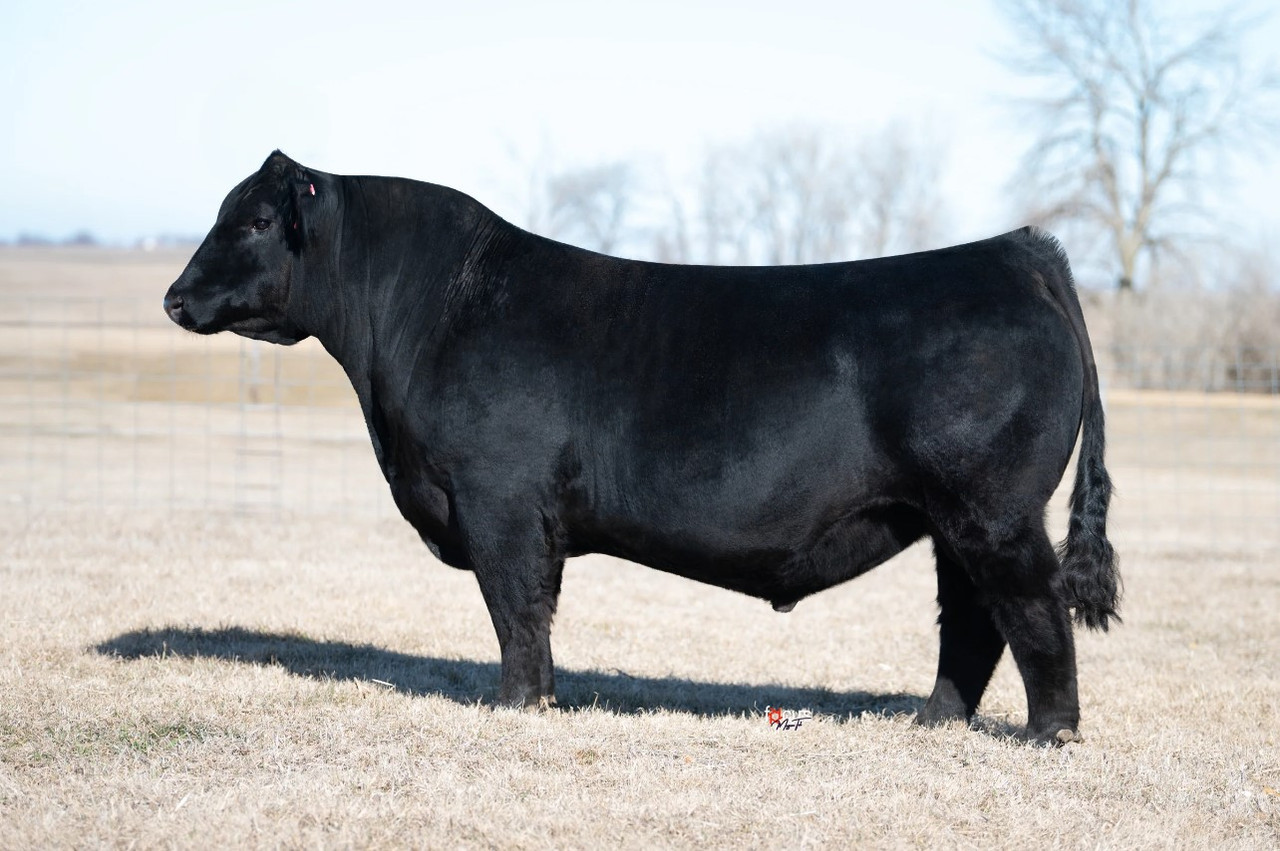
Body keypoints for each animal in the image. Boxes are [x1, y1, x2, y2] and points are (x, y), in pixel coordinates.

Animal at [163, 151, 1119, 745]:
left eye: (254, 221)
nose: (173, 297)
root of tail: (1018, 250)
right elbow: (532, 614)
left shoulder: (499, 502)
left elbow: (517, 612)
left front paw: (519, 707)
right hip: (956, 518)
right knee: (973, 621)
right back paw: (933, 721)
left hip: (991, 509)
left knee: (1030, 609)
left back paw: (1050, 733)